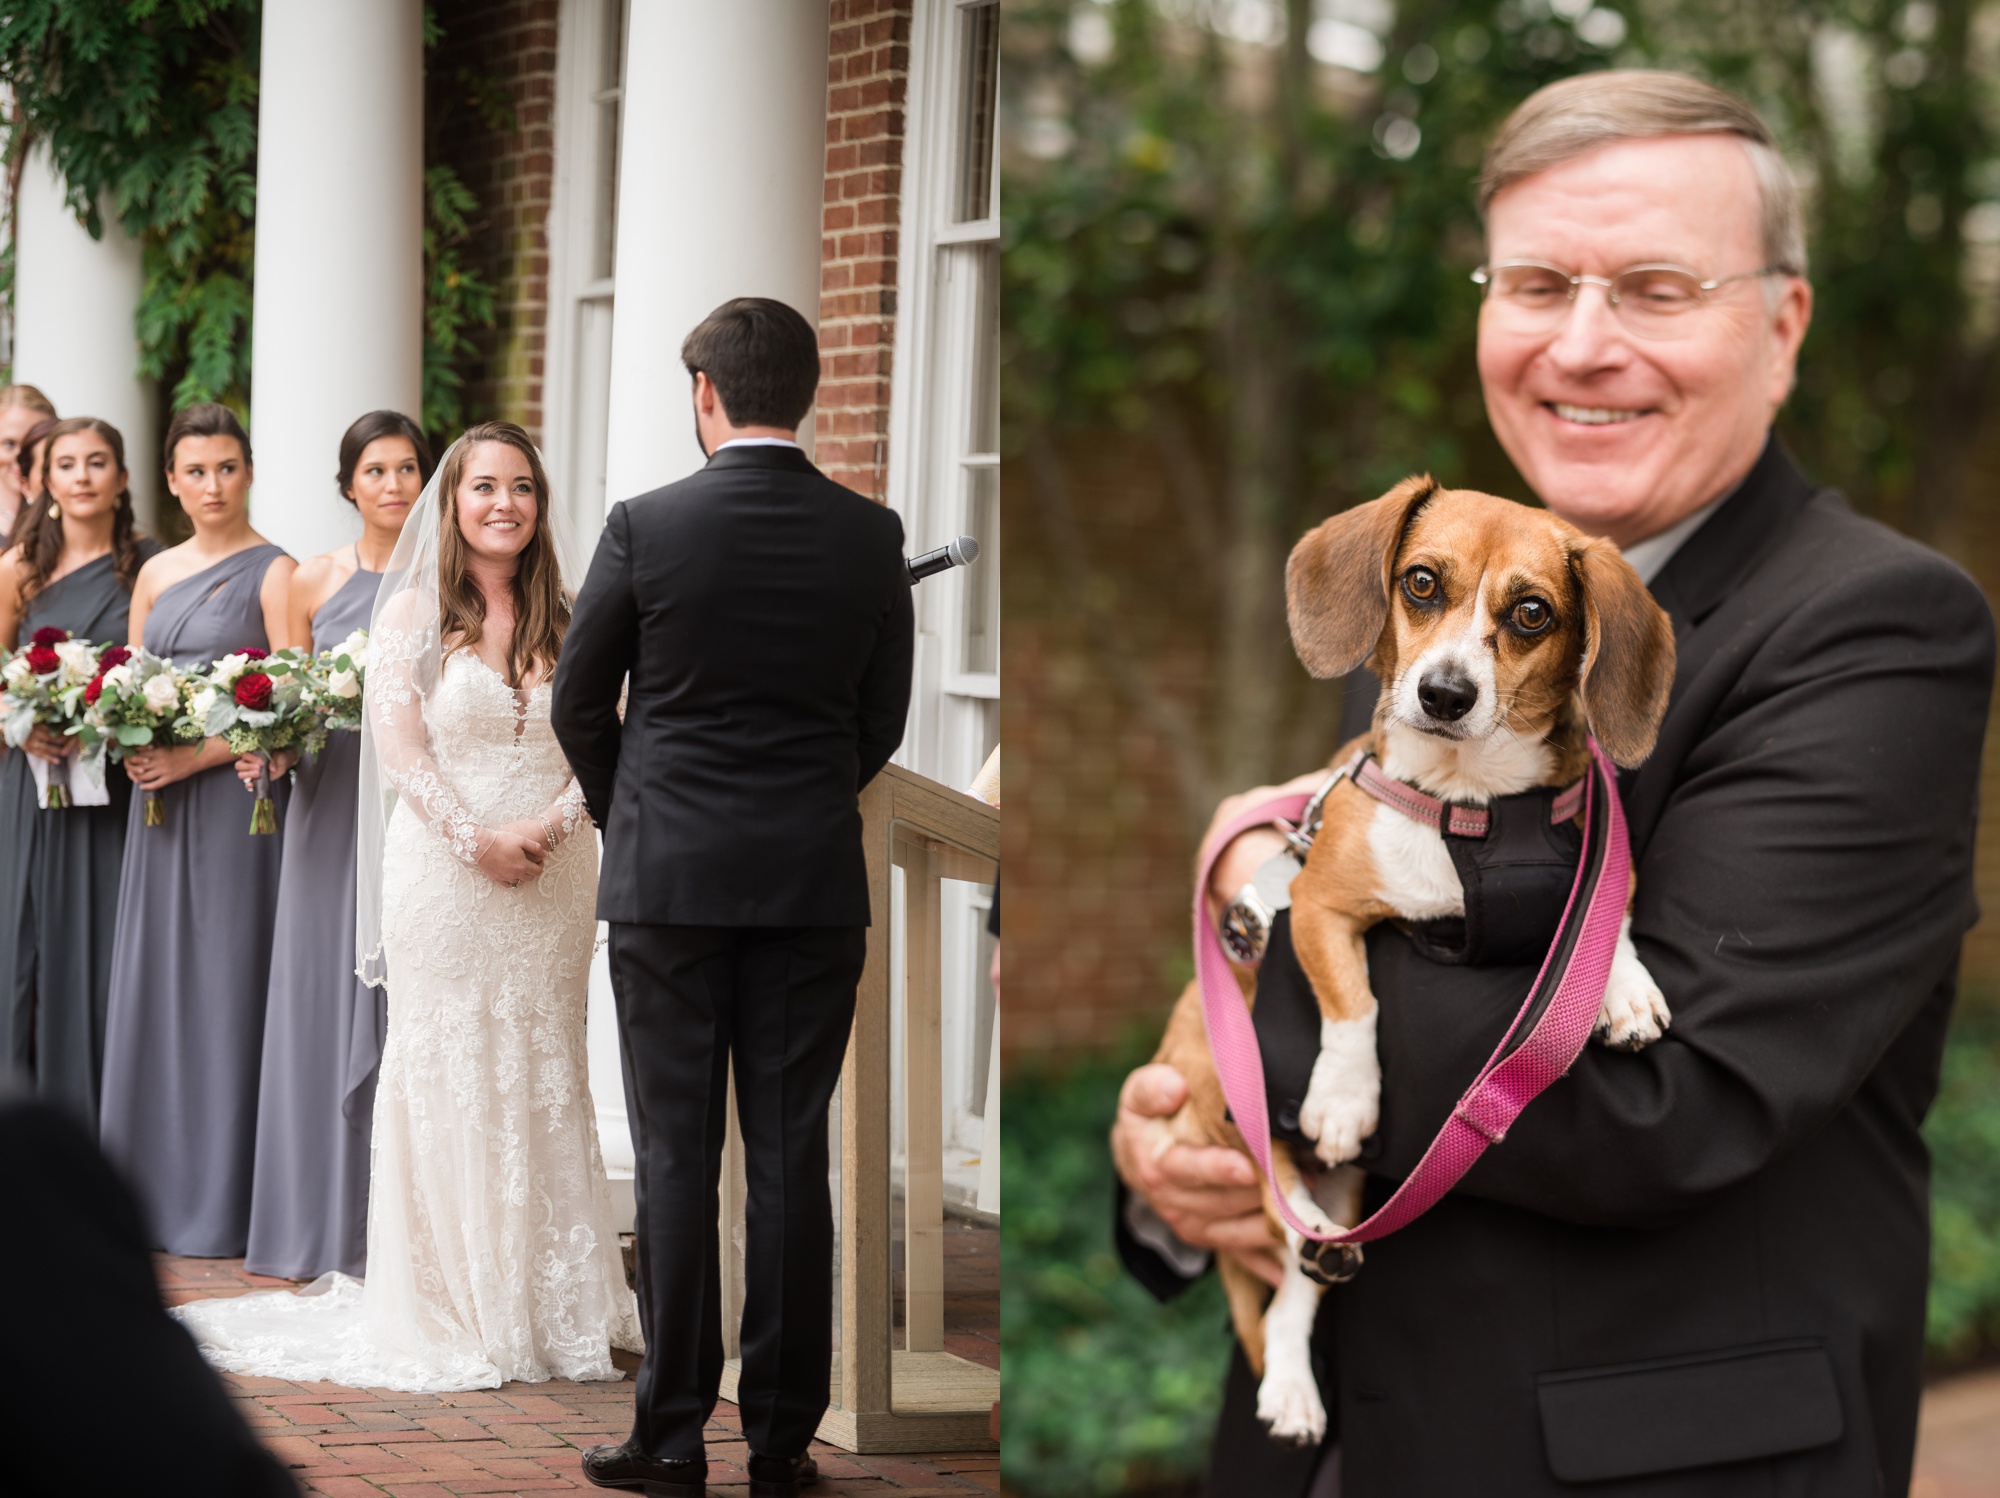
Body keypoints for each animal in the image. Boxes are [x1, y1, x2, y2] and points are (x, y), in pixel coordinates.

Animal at [1152, 476, 1680, 1440]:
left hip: (1352, 1198)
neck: (1466, 806)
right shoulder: (1316, 909)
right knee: (1283, 1230)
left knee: (1296, 1288)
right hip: (1243, 1121)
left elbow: (1604, 919)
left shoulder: (1587, 866)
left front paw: (1621, 988)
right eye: (1423, 583)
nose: (1443, 693)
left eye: (1533, 612)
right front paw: (1342, 1096)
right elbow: (1352, 1001)